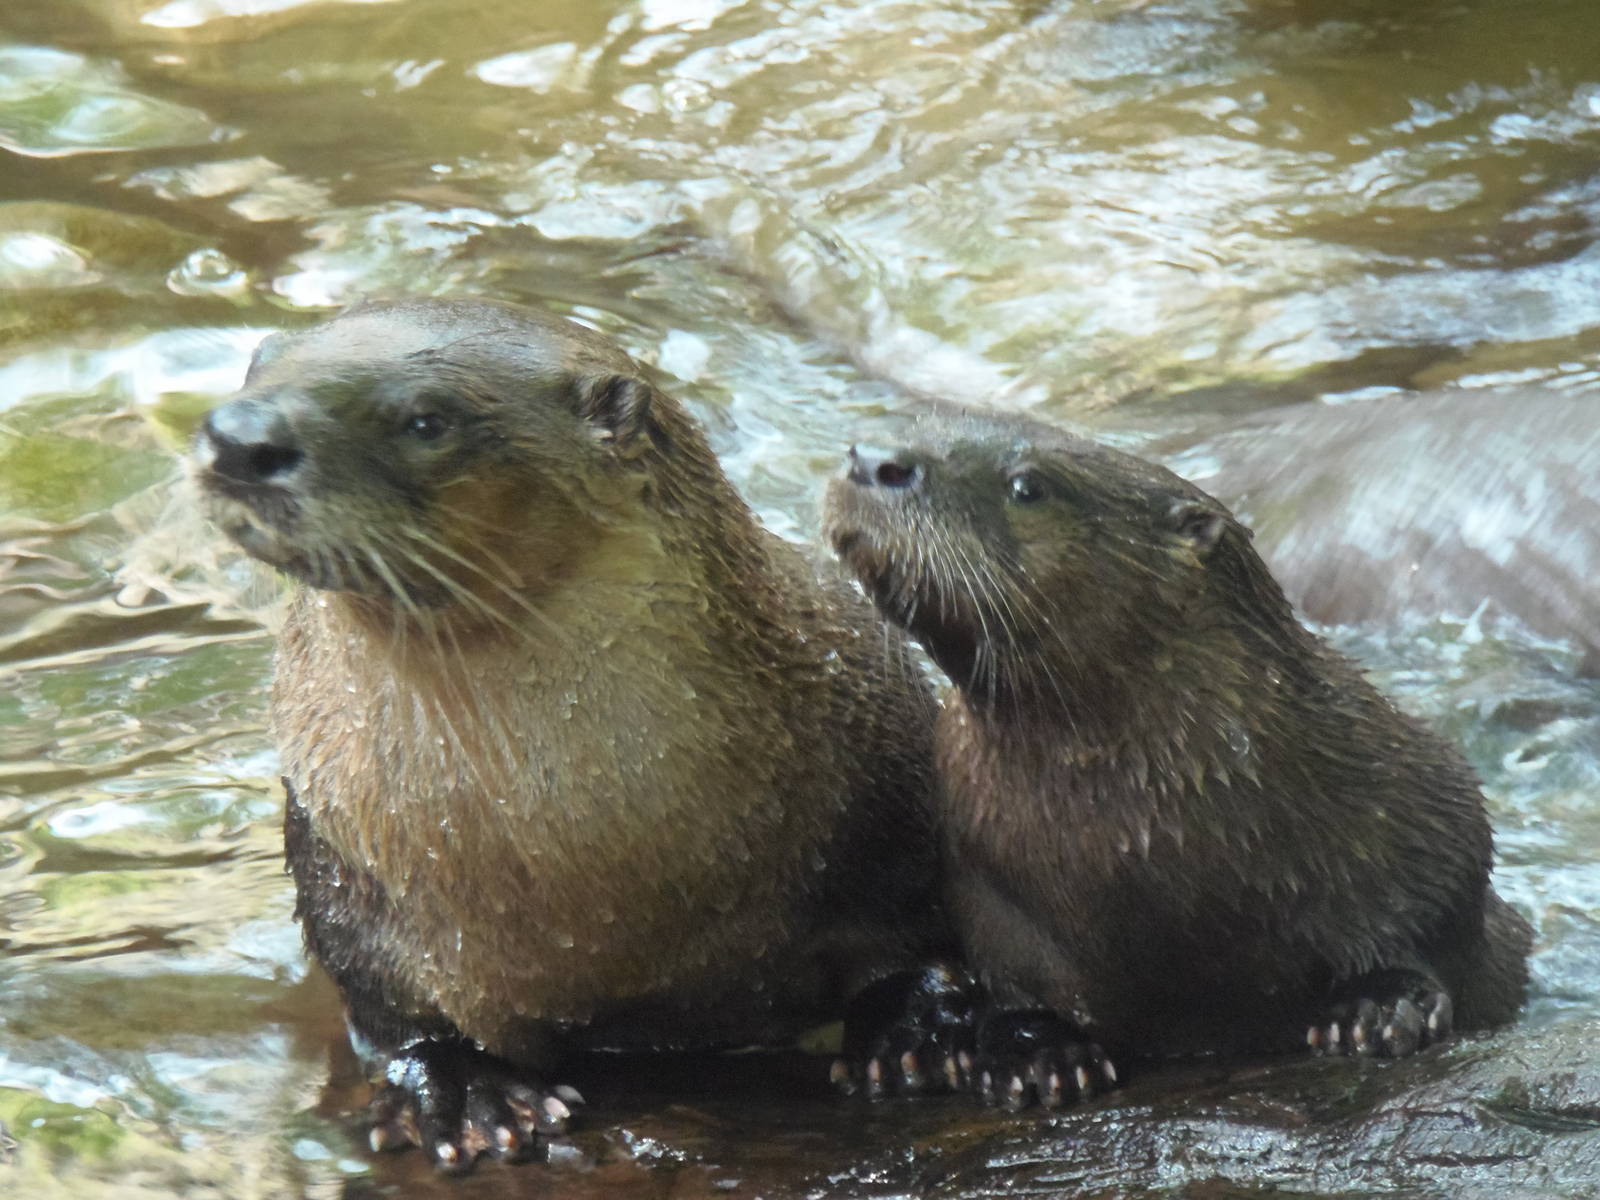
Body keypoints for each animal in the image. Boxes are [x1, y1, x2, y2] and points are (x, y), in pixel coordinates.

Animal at [190, 298, 956, 1169]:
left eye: (426, 419)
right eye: (254, 371)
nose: (239, 435)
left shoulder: (890, 783)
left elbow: (911, 935)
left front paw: (920, 1025)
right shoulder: (338, 875)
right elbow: (393, 1017)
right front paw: (459, 1089)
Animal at [823, 412, 1531, 1106]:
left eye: (1027, 486)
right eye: (921, 422)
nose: (873, 460)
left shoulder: (1422, 797)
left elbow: (1441, 902)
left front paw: (1380, 1005)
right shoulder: (988, 890)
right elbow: (1015, 982)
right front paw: (1039, 1052)